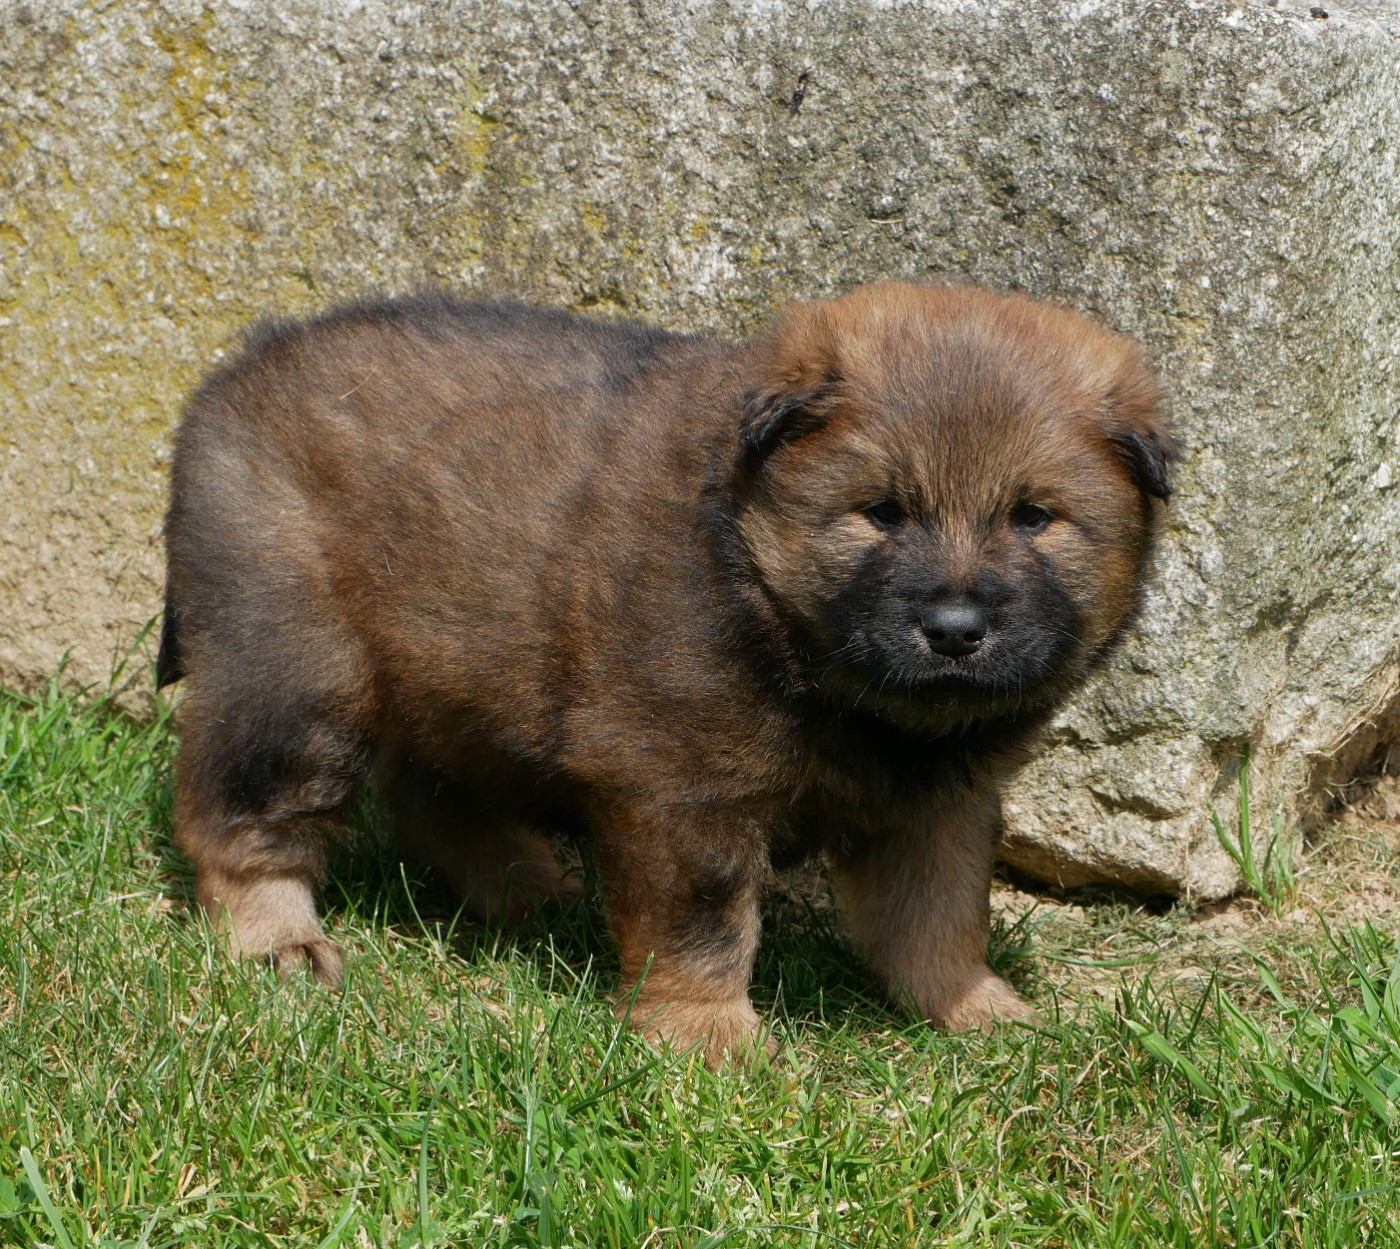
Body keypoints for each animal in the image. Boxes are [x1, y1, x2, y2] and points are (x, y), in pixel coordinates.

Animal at [158, 282, 1172, 1063]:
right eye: (881, 511)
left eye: (1034, 516)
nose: (955, 628)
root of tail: (229, 375)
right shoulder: (685, 789)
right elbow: (706, 920)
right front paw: (708, 1035)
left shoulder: (940, 805)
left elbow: (939, 917)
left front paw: (980, 1011)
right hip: (294, 668)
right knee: (240, 816)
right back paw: (280, 940)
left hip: (458, 661)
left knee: (430, 788)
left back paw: (523, 888)